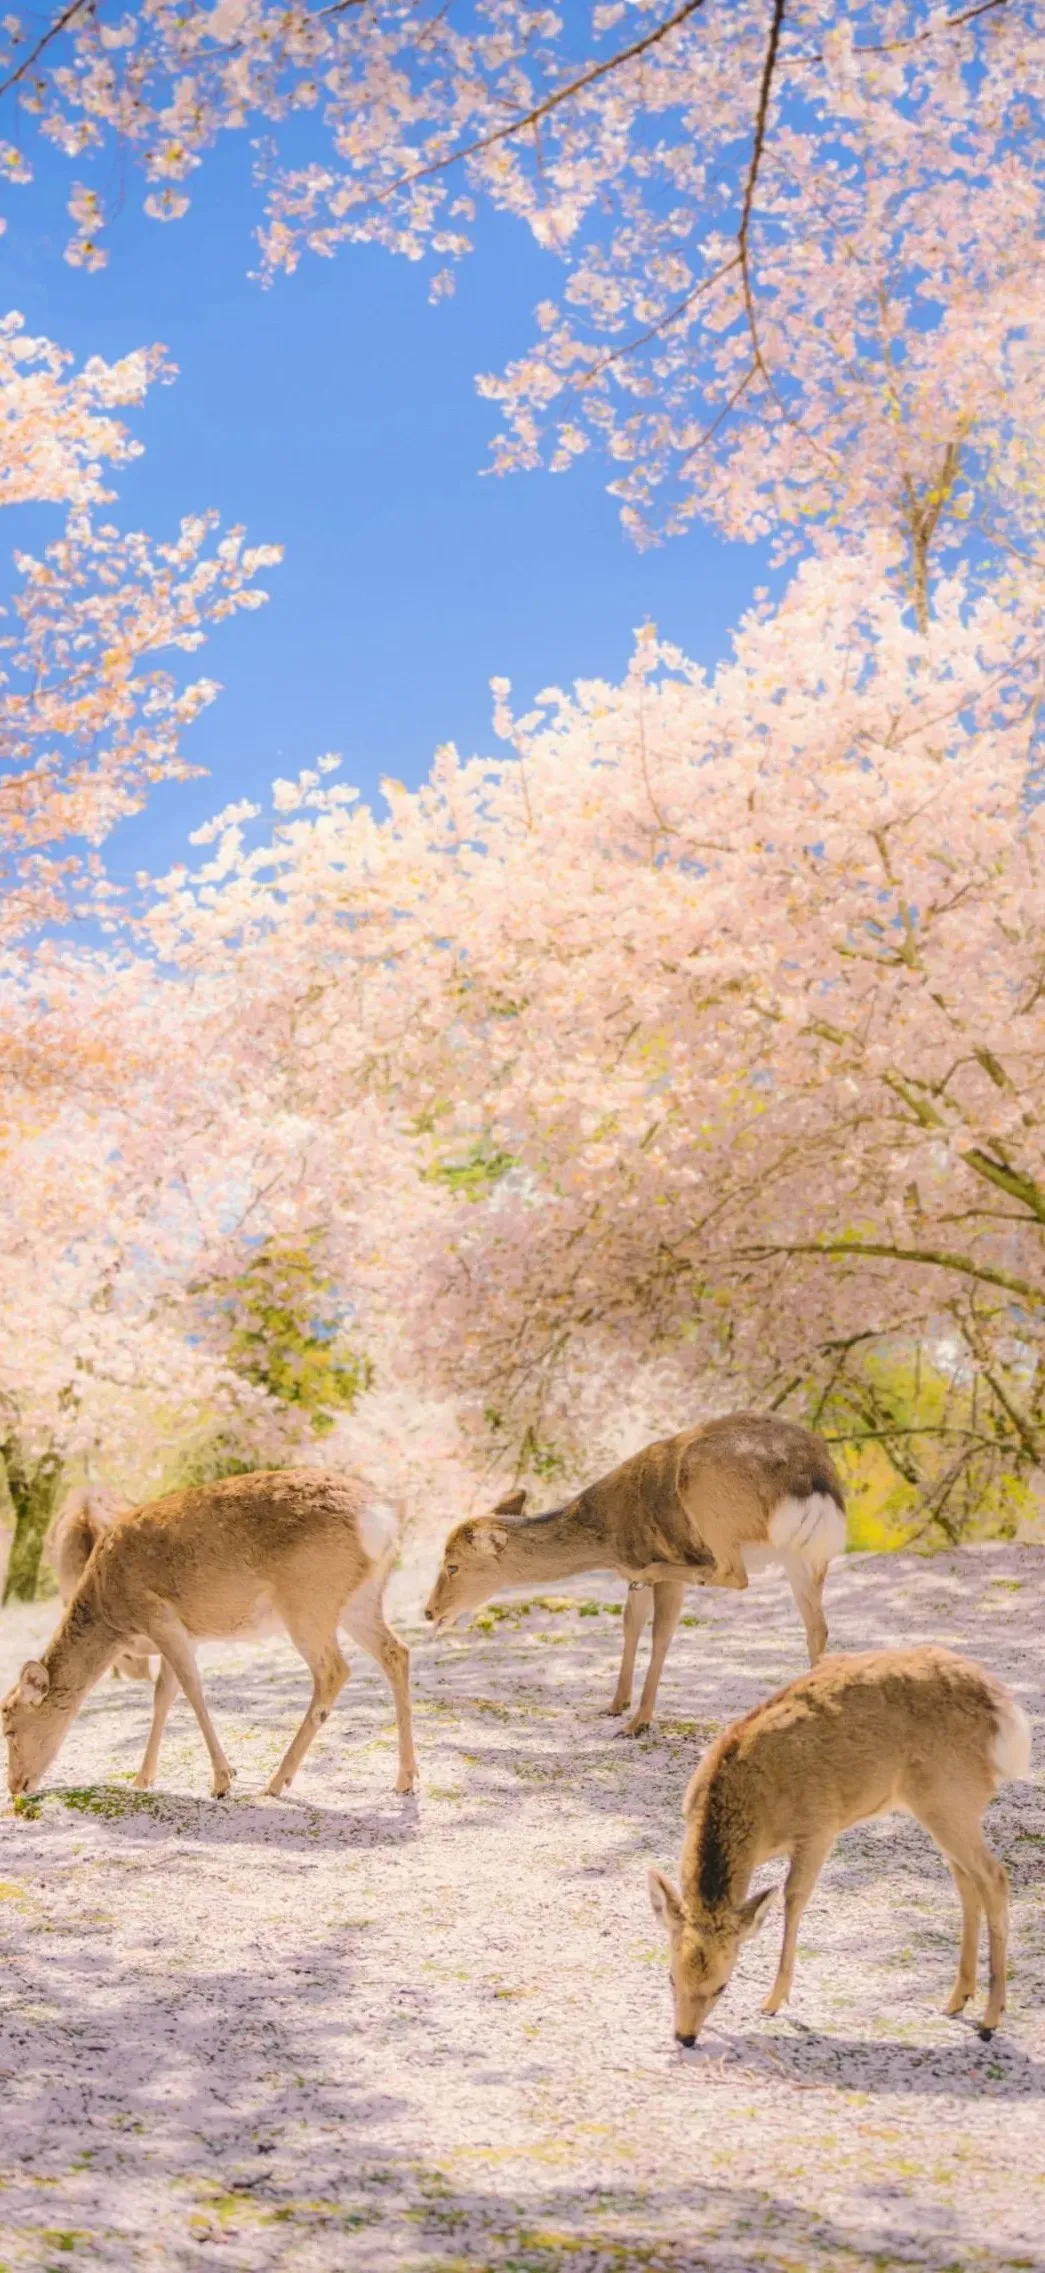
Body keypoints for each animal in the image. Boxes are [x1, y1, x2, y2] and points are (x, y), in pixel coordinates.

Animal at [420, 1409, 845, 1727]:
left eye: (452, 1565)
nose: (429, 1611)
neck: (607, 1541)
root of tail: (814, 1477)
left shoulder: (657, 1562)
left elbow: (660, 1633)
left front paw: (638, 1721)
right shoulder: (628, 1578)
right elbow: (630, 1624)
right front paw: (615, 1705)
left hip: (708, 1503)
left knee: (732, 1574)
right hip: (806, 1557)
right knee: (817, 1627)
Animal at [649, 1645, 1031, 2054]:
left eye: (722, 1986)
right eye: (671, 1977)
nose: (685, 2036)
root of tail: (1005, 1713)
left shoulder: (819, 1827)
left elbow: (793, 1898)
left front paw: (773, 2000)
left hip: (951, 1795)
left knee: (994, 1877)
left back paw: (990, 2018)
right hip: (943, 1807)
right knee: (967, 1881)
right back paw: (957, 1999)